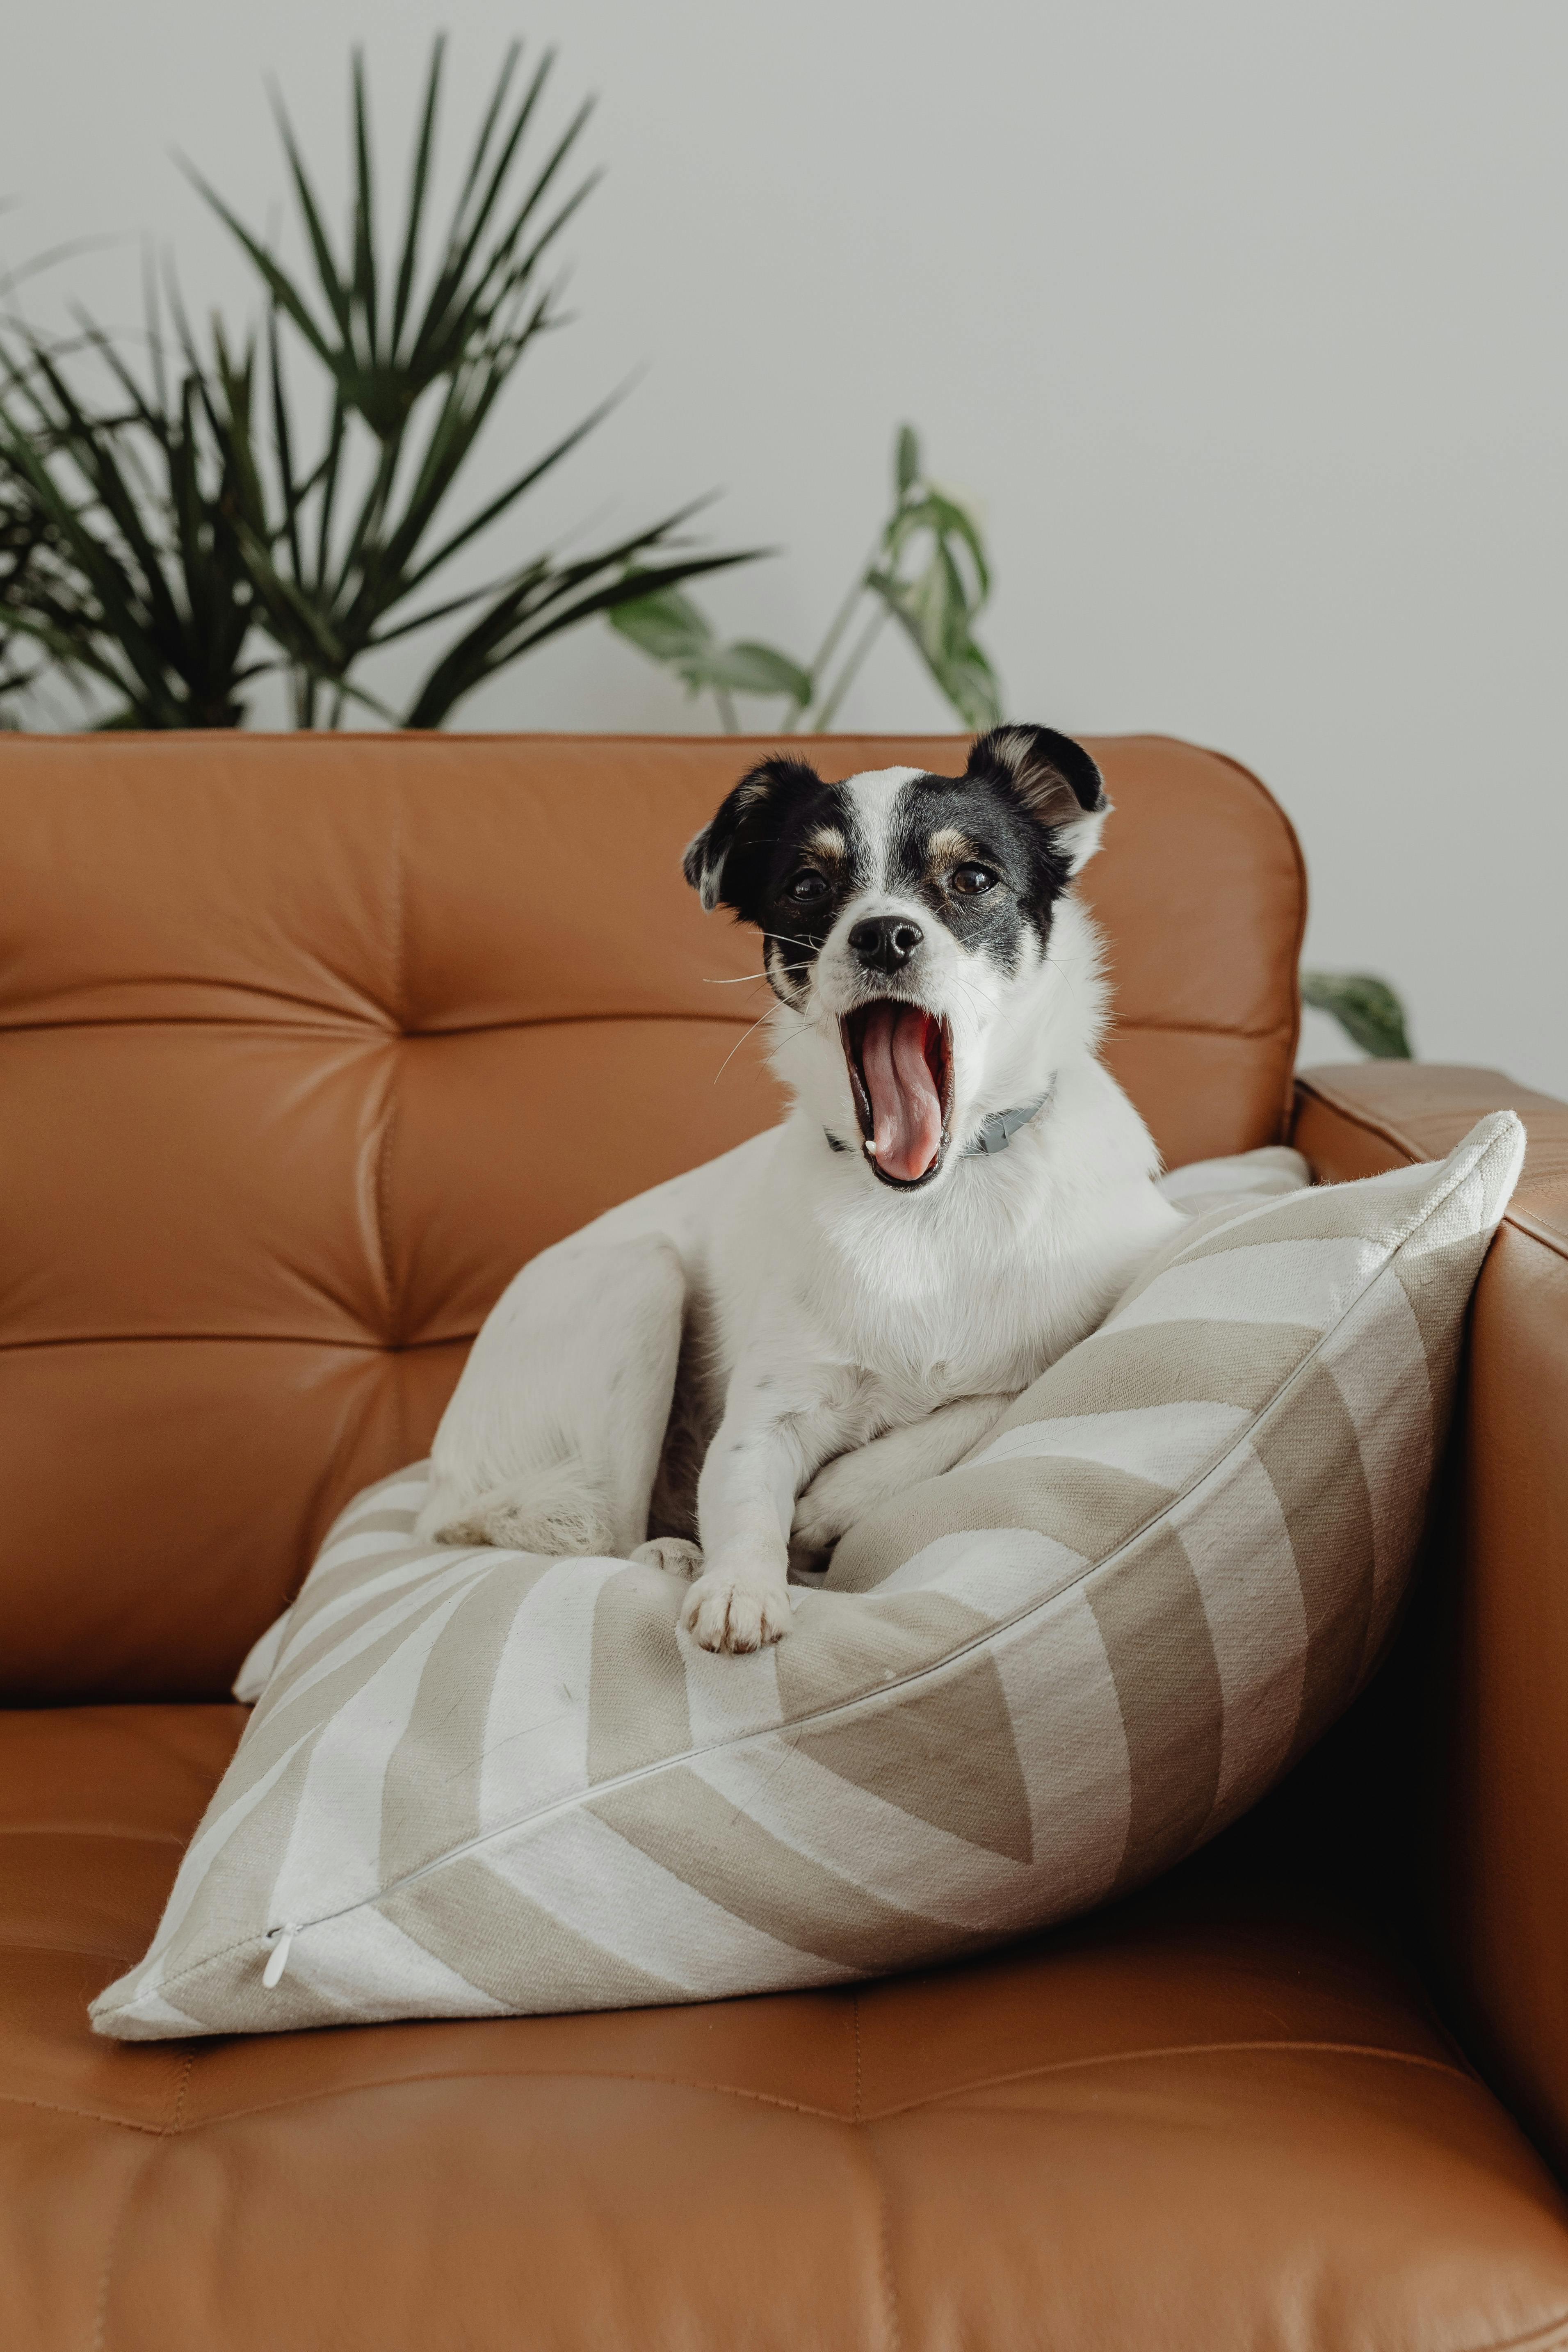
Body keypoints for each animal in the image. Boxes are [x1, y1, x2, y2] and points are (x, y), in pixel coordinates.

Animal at [411, 715, 1185, 1656]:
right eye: (808, 886)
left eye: (972, 878)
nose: (882, 933)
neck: (929, 1203)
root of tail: (435, 1495)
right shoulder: (763, 1420)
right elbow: (745, 1497)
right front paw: (740, 1583)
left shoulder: (1060, 1340)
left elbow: (981, 1404)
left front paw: (835, 1500)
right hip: (640, 1280)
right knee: (602, 1530)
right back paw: (669, 1552)